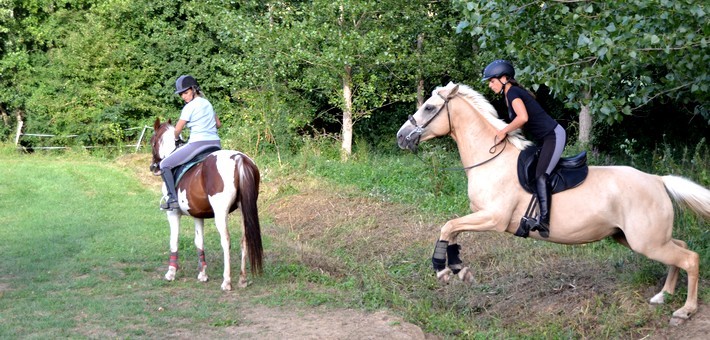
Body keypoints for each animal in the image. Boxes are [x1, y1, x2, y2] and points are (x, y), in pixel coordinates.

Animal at [150, 117, 264, 290]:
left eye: (152, 142)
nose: (154, 167)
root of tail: (238, 158)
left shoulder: (173, 213)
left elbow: (174, 240)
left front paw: (171, 273)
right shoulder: (198, 214)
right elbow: (199, 242)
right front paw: (203, 274)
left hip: (220, 212)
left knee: (226, 241)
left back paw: (226, 281)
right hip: (244, 209)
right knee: (244, 240)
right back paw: (242, 279)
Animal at [398, 83, 710, 324]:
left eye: (429, 108)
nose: (401, 137)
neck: (491, 159)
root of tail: (657, 180)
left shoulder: (494, 218)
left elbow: (449, 226)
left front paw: (443, 270)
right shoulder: (479, 215)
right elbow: (453, 230)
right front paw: (458, 269)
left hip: (646, 241)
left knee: (690, 258)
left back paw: (685, 310)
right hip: (636, 238)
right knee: (680, 248)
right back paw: (664, 295)